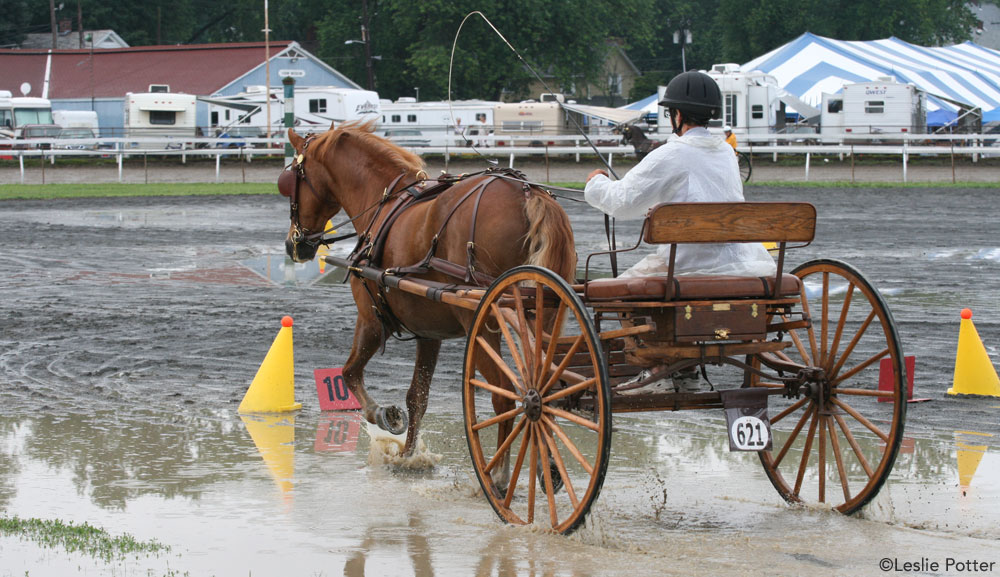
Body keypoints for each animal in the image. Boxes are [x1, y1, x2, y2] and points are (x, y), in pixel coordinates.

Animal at [284, 124, 580, 456]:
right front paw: (408, 456)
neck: (384, 201)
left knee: (506, 395)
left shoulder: (372, 318)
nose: (294, 244)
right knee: (548, 384)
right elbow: (417, 396)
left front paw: (384, 415)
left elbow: (349, 372)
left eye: (290, 179)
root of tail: (527, 193)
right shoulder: (428, 332)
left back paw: (501, 467)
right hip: (541, 314)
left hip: (483, 319)